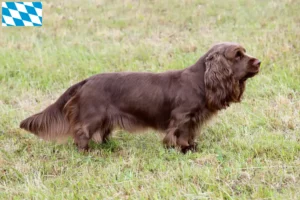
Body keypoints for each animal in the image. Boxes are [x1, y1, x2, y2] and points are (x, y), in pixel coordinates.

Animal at [20, 41, 260, 152]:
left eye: (244, 52)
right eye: (238, 55)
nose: (259, 62)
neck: (200, 80)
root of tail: (86, 81)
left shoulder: (194, 119)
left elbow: (190, 133)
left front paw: (191, 146)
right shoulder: (182, 117)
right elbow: (180, 133)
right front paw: (183, 148)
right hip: (92, 115)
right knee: (81, 133)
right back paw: (87, 151)